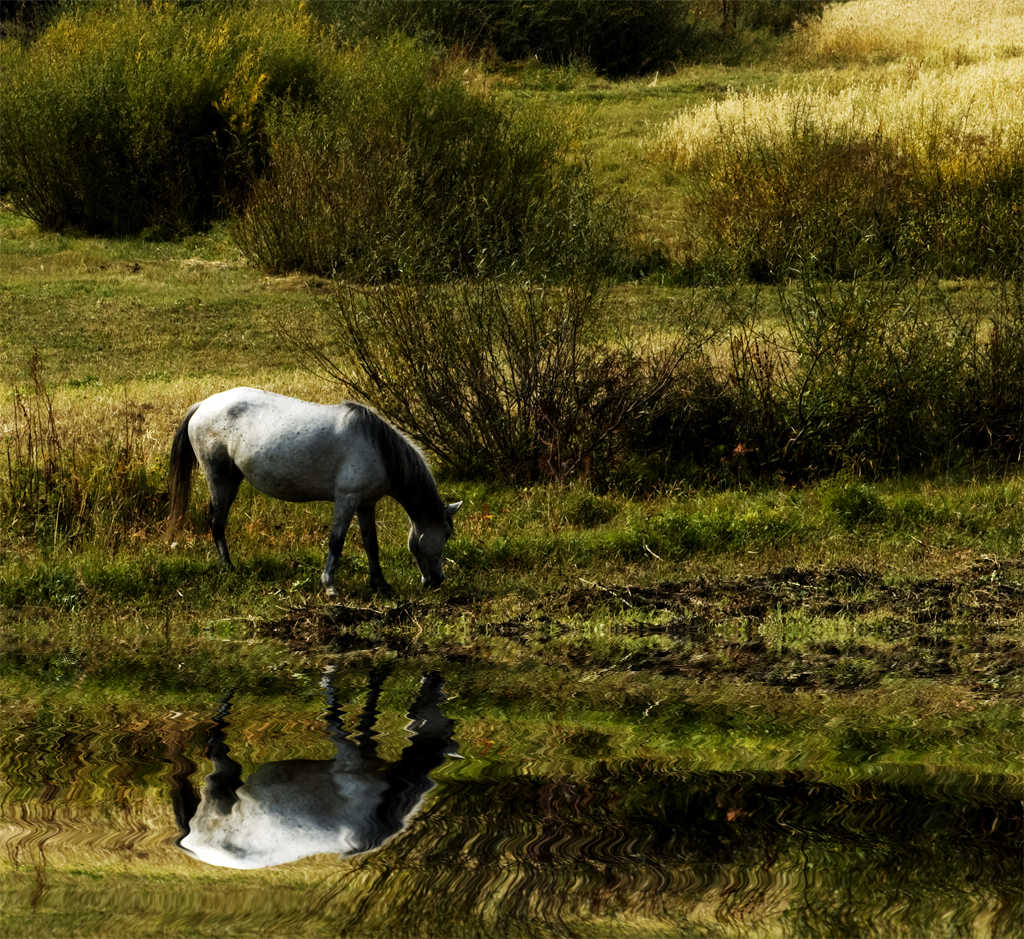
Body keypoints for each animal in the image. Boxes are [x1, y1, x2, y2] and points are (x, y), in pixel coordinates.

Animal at [167, 387, 460, 593]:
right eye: (446, 534)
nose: (437, 580)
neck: (377, 447)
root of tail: (203, 405)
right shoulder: (346, 499)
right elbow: (336, 542)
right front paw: (329, 585)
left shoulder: (366, 503)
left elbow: (371, 544)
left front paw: (380, 583)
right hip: (220, 479)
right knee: (217, 523)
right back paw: (228, 568)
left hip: (231, 479)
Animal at [169, 671, 454, 868]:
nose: (436, 678)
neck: (387, 801)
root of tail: (189, 845)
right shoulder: (349, 758)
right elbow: (336, 713)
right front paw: (331, 674)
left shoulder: (364, 753)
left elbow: (369, 711)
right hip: (218, 785)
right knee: (215, 742)